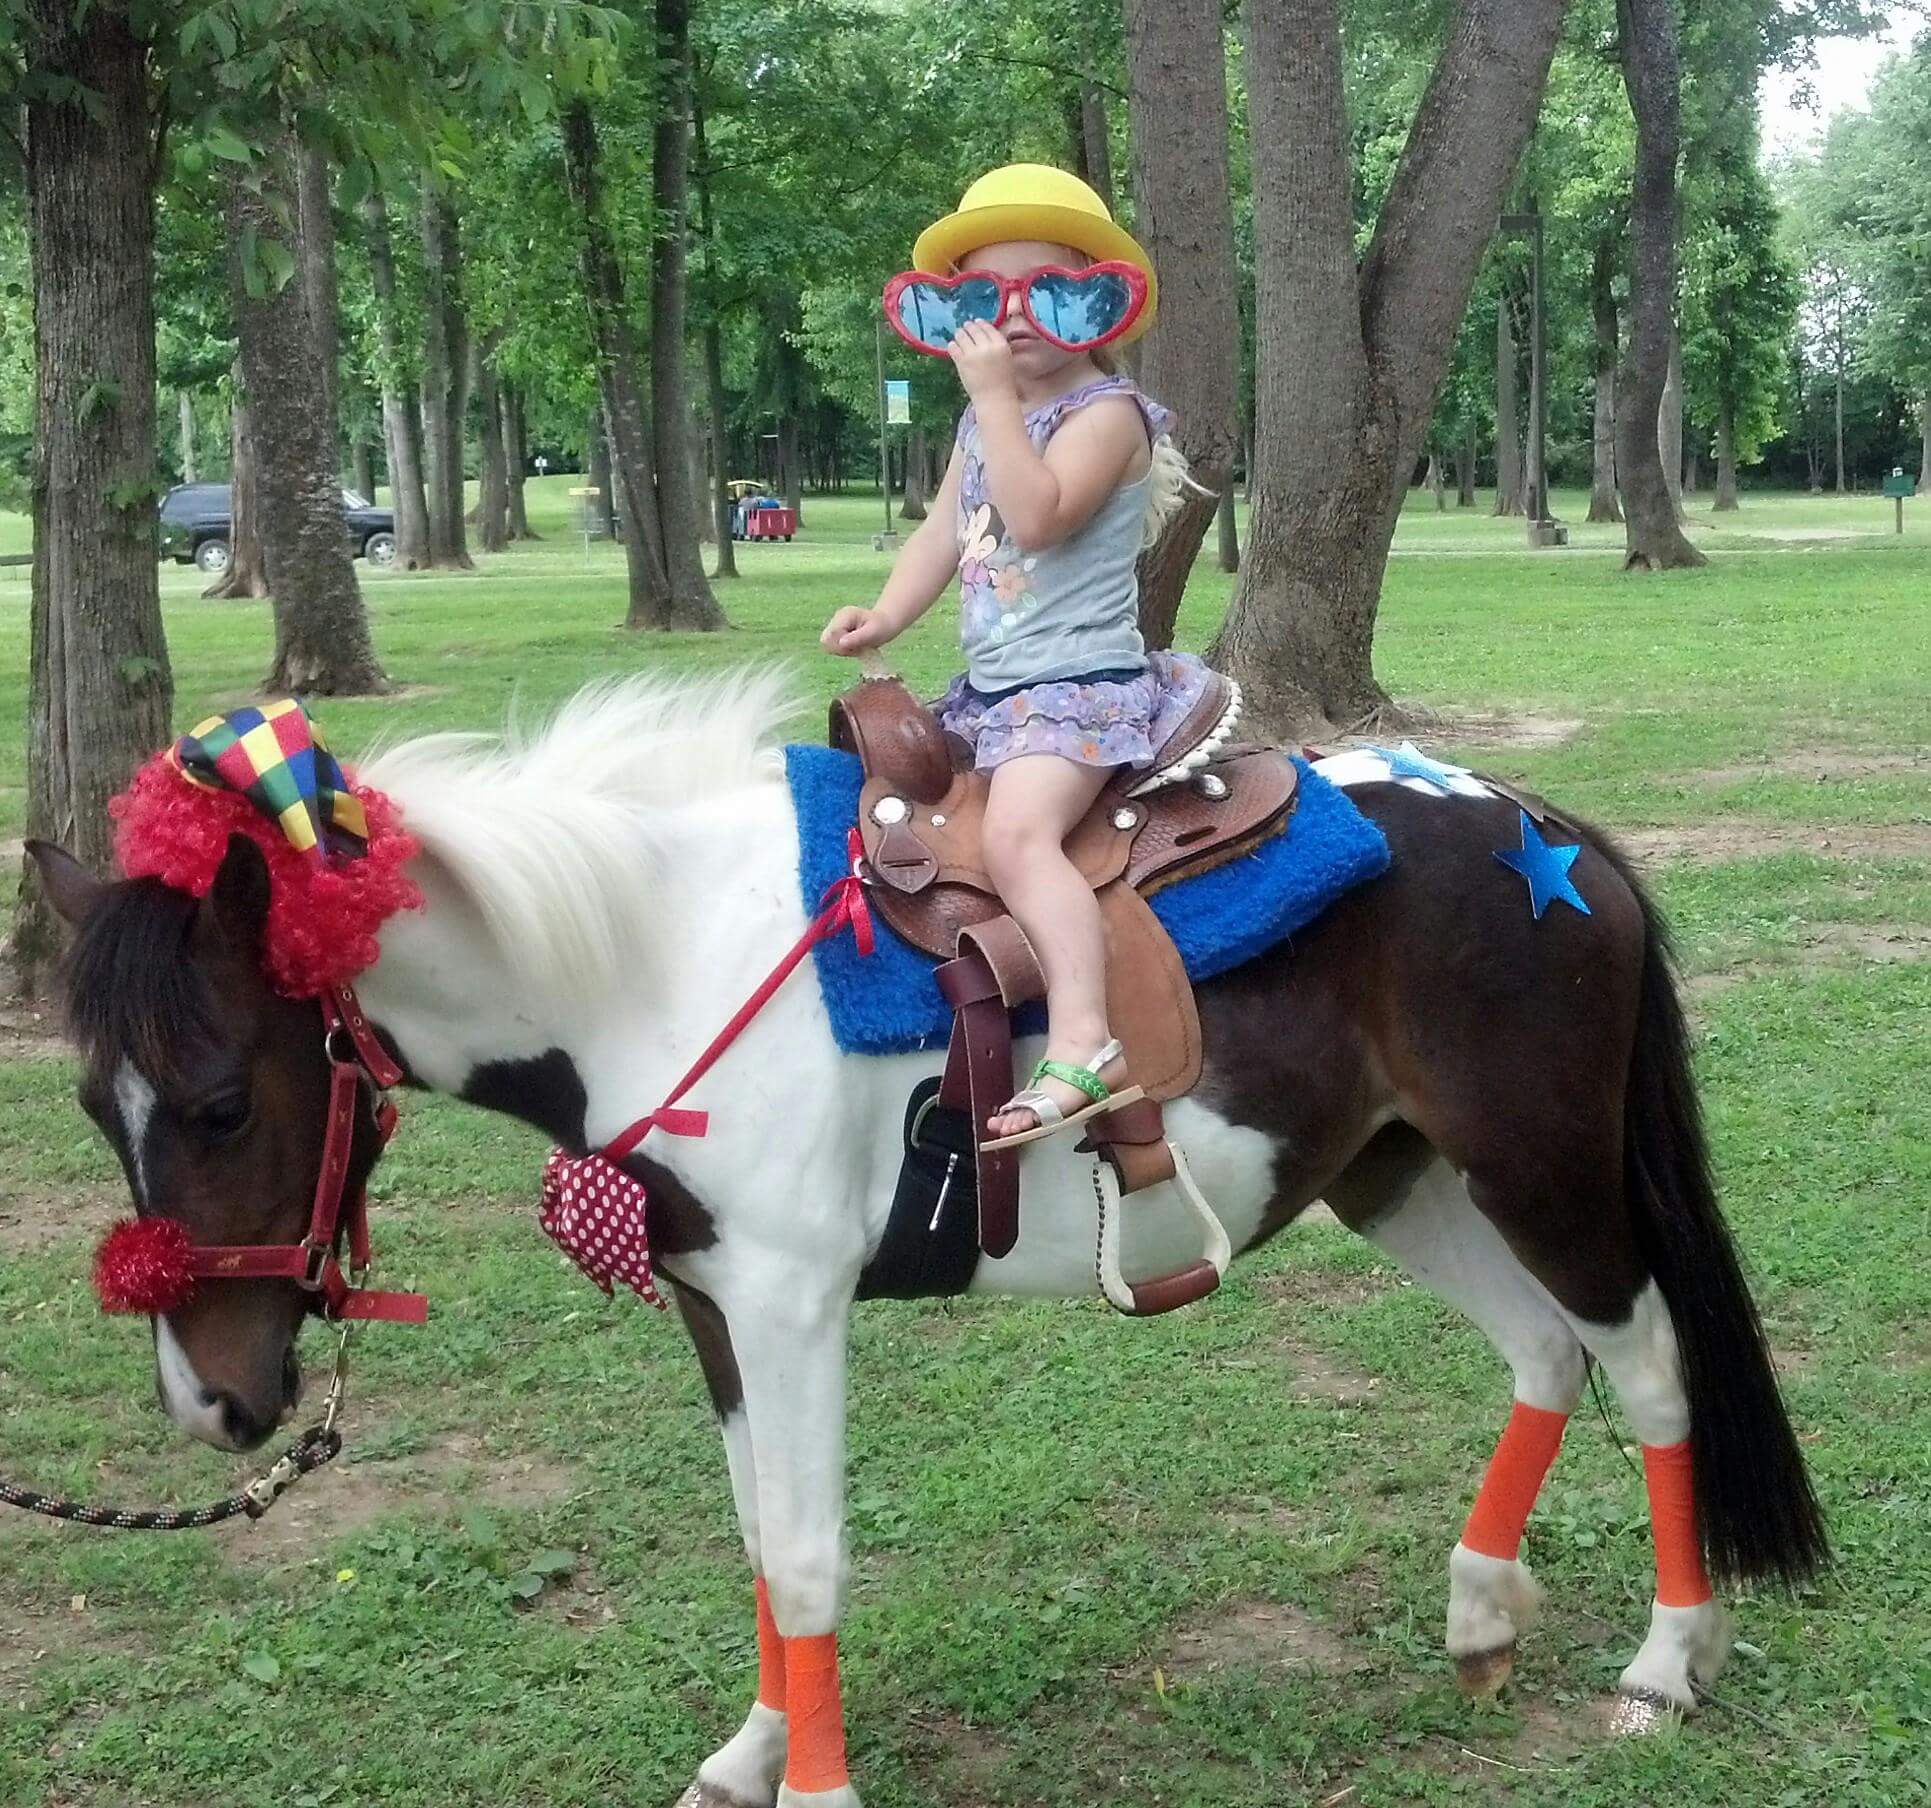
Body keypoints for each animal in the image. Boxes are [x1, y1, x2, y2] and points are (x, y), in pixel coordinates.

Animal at [29, 672, 1826, 1808]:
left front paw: (811, 1788)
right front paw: (750, 1756)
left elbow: (814, 1550)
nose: (210, 1404)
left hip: (1537, 1167)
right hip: (1397, 1177)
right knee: (1542, 1355)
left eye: (217, 1103)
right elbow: (761, 1540)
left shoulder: (790, 1303)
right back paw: (1478, 1615)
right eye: (92, 1104)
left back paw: (1666, 1662)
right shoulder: (710, 1304)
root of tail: (1543, 828)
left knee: (1645, 1363)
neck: (662, 960)